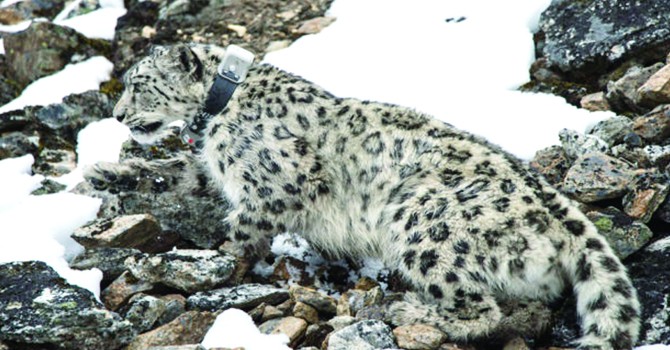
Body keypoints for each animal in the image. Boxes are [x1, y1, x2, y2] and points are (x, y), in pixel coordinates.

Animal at [94, 43, 640, 350]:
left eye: (140, 85)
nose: (118, 115)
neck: (215, 118)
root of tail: (557, 206)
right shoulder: (215, 171)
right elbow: (176, 173)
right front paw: (106, 174)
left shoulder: (282, 182)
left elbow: (245, 225)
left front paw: (225, 259)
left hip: (423, 223)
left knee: (482, 309)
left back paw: (409, 311)